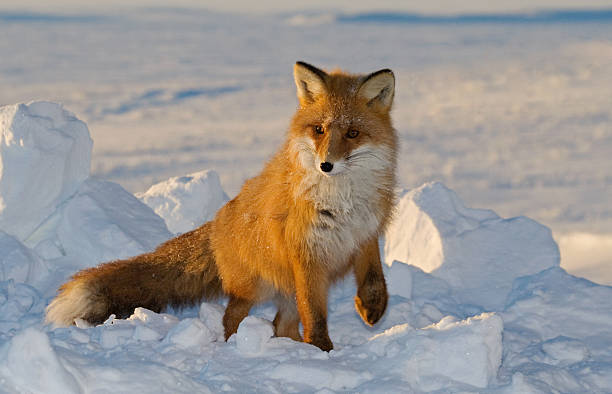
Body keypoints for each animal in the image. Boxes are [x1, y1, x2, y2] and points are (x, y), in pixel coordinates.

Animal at [46, 61, 396, 350]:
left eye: (353, 133)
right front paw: (322, 351)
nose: (326, 165)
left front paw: (371, 307)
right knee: (232, 319)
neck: (343, 201)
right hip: (256, 289)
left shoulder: (364, 233)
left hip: (284, 290)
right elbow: (316, 315)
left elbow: (374, 277)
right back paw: (239, 346)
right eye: (319, 129)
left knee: (281, 325)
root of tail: (216, 223)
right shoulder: (306, 253)